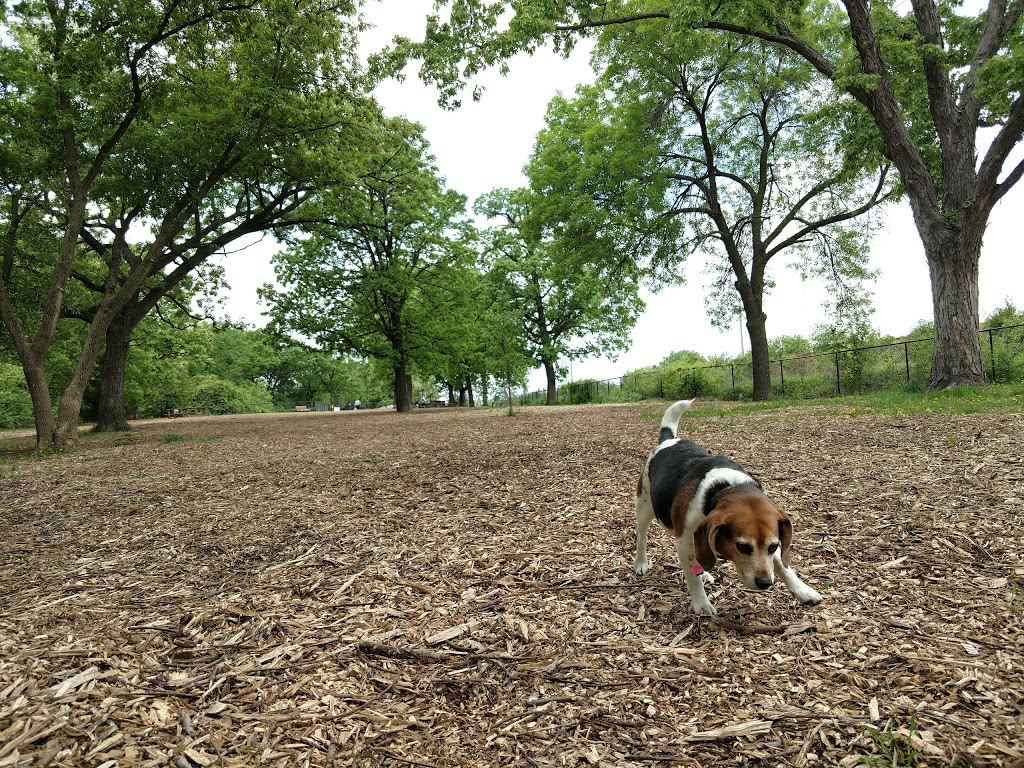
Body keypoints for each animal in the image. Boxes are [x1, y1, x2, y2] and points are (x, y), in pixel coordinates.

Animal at [630, 399, 823, 618]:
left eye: (773, 547)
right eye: (743, 547)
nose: (765, 583)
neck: (725, 487)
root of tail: (669, 440)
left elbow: (783, 566)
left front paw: (802, 590)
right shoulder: (685, 539)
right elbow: (692, 575)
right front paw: (701, 604)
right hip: (644, 508)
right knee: (642, 538)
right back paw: (641, 563)